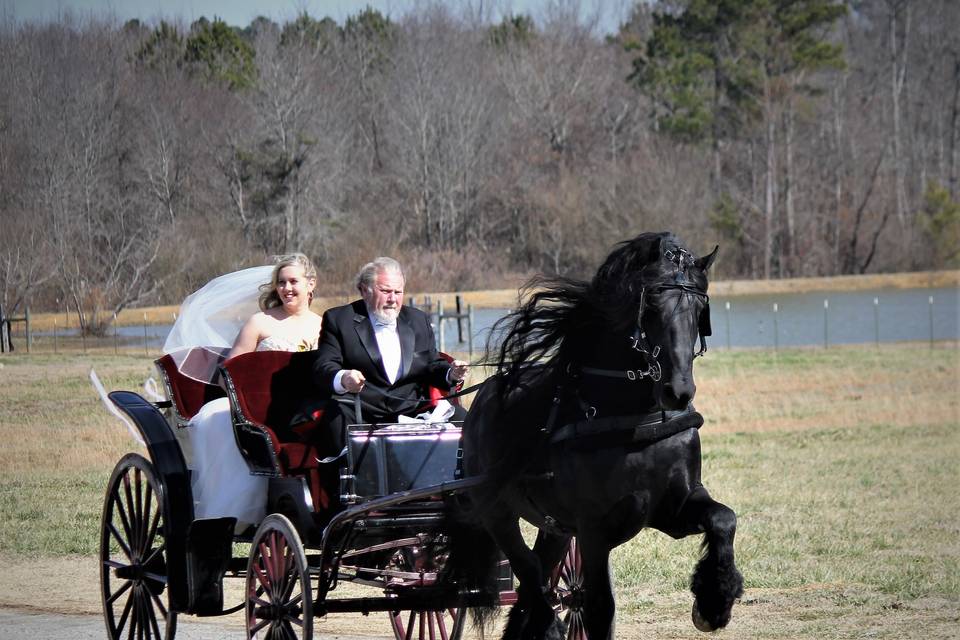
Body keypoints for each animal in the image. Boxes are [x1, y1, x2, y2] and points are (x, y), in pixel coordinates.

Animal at [450, 232, 744, 636]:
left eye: (700, 306)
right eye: (652, 305)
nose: (678, 391)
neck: (637, 420)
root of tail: (480, 401)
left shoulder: (674, 508)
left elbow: (724, 519)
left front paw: (715, 601)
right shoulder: (593, 531)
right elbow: (600, 607)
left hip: (555, 527)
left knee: (535, 578)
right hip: (497, 513)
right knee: (529, 572)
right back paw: (550, 627)